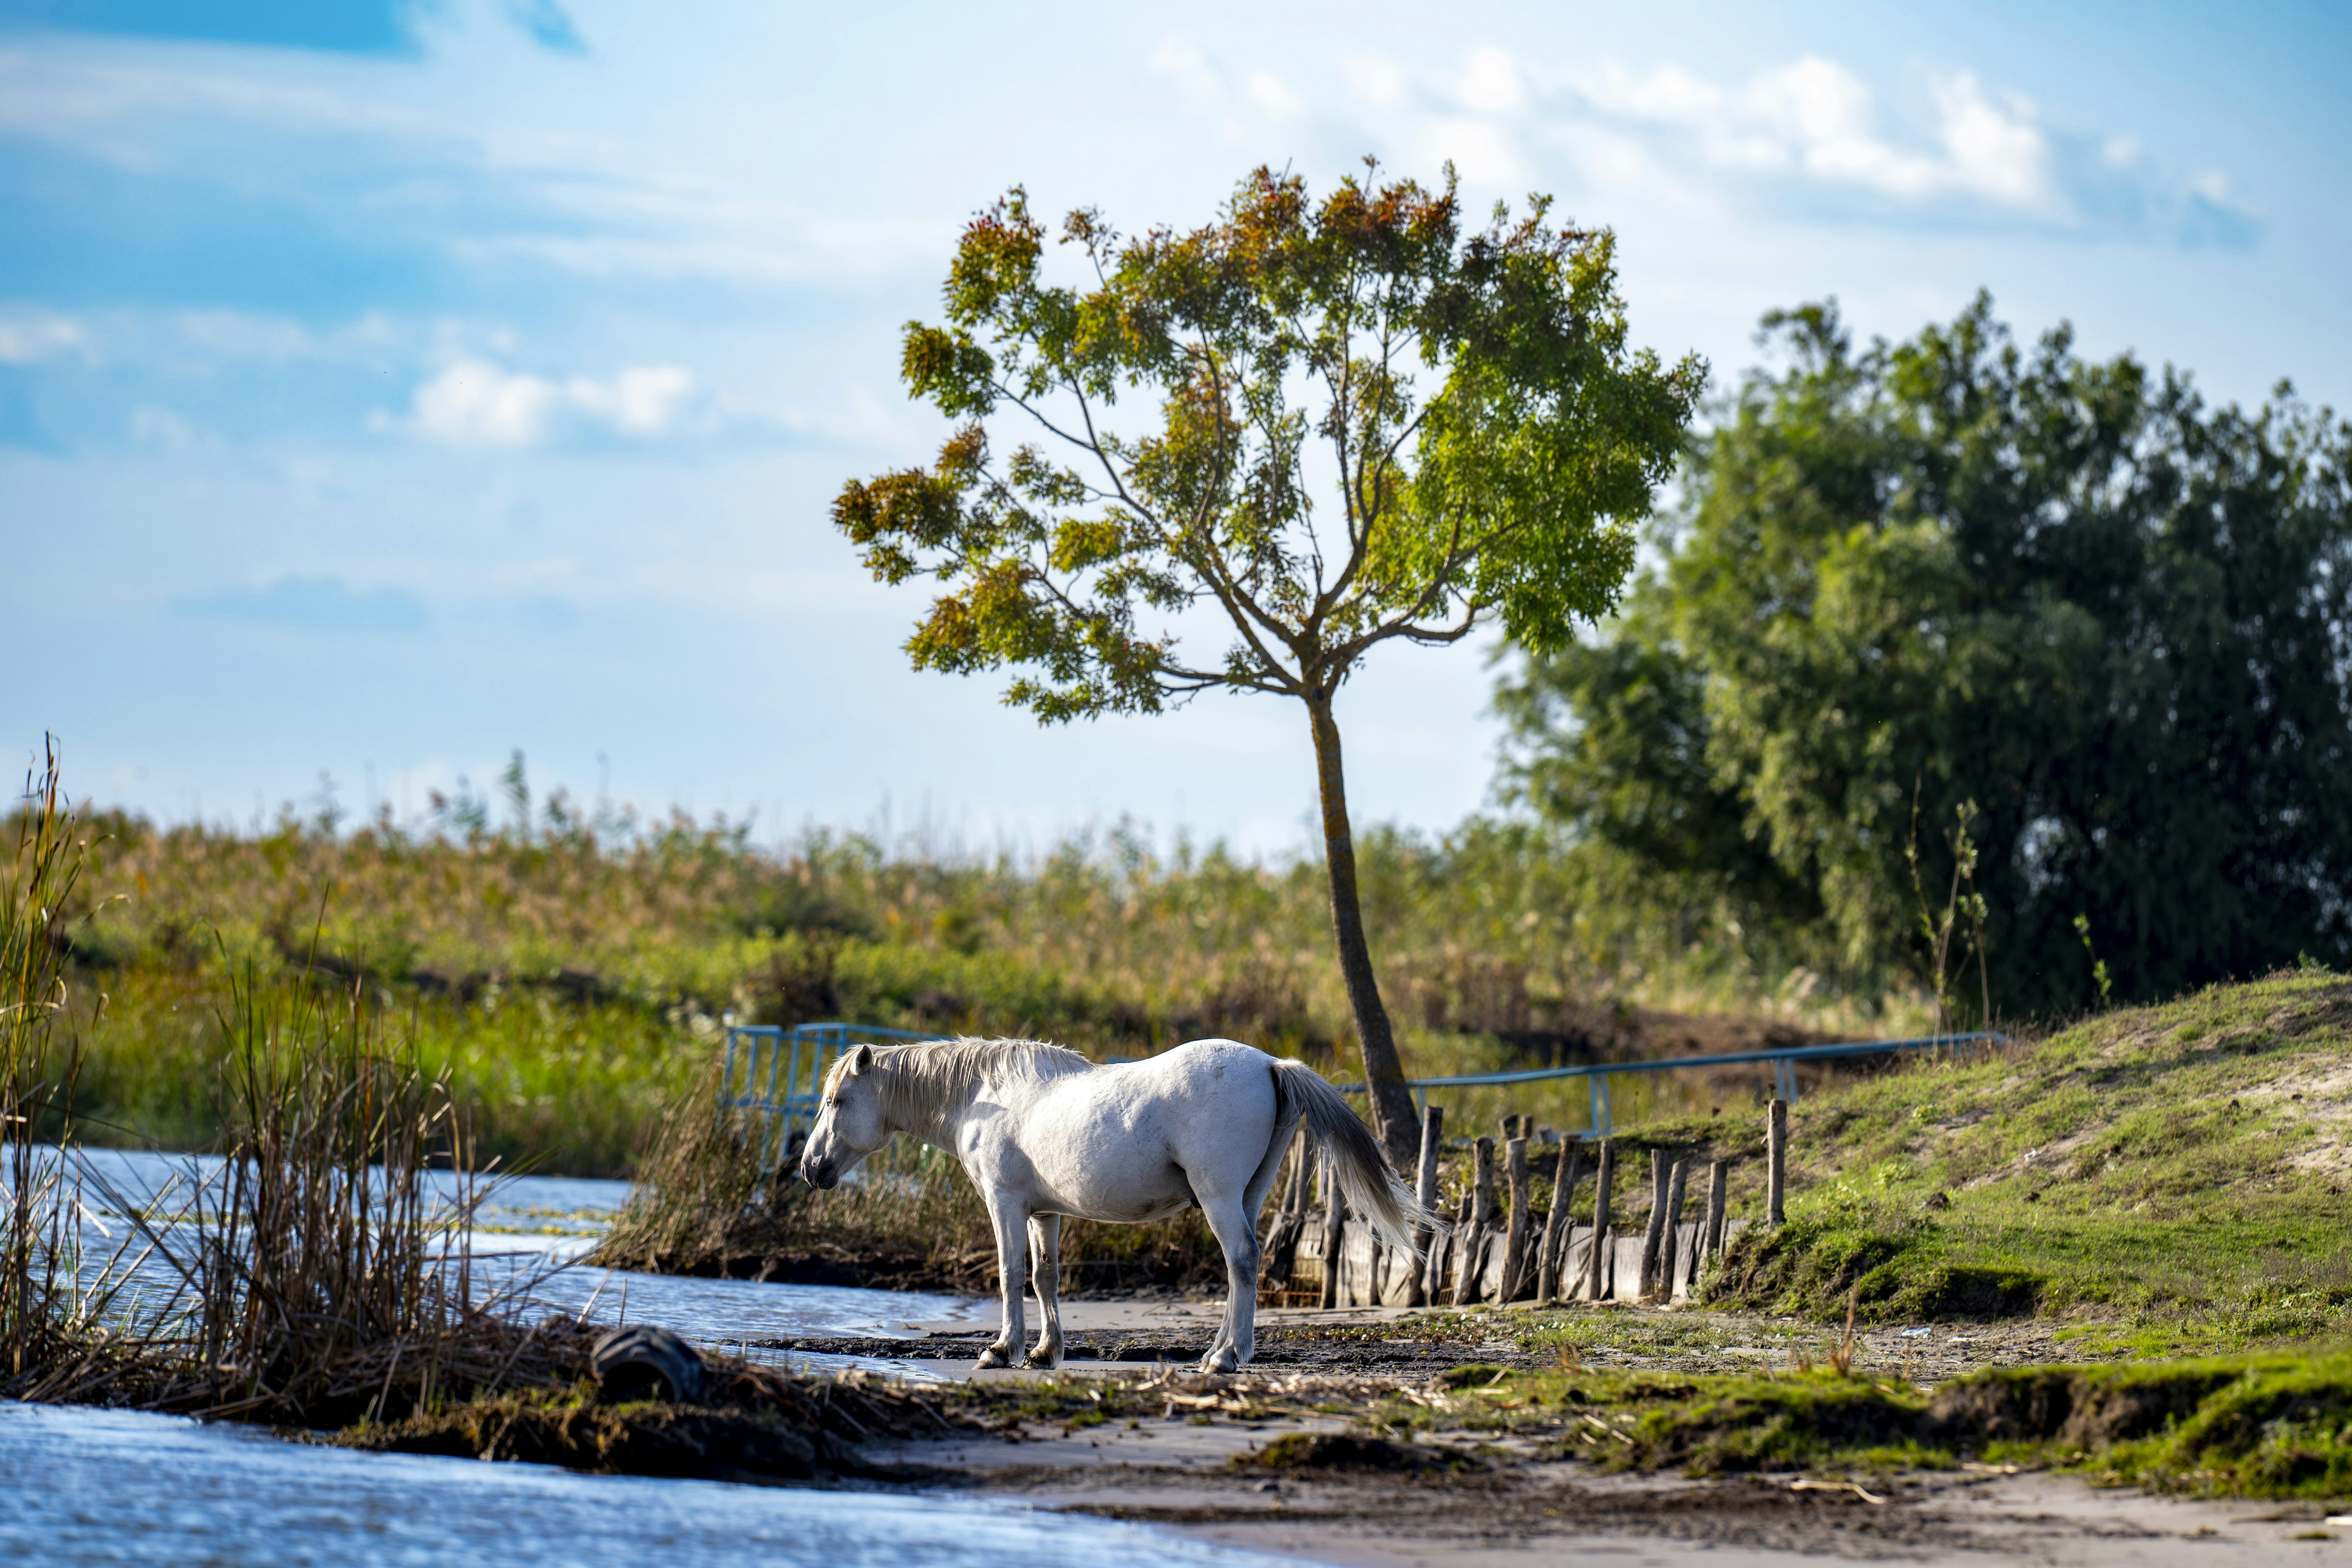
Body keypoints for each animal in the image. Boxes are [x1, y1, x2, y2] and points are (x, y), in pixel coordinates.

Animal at [797, 1036, 1436, 1372]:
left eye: (836, 1099)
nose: (810, 1167)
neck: (983, 1096)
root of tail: (1268, 1064)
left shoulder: (1005, 1204)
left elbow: (1007, 1274)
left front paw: (1002, 1348)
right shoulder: (1045, 1213)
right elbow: (1045, 1277)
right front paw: (1045, 1351)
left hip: (1218, 1197)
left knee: (1242, 1260)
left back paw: (1228, 1357)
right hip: (1247, 1195)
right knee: (1241, 1268)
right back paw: (1216, 1350)